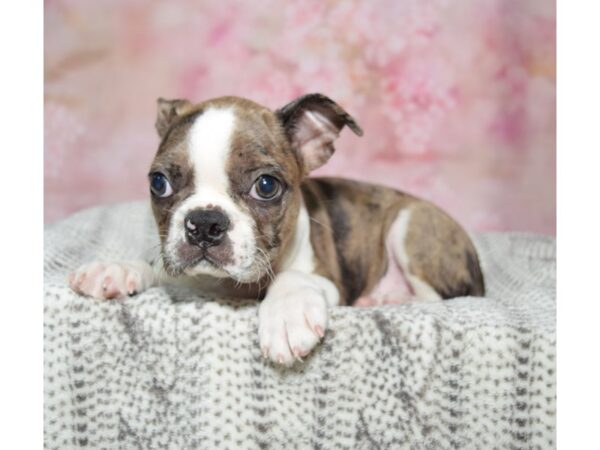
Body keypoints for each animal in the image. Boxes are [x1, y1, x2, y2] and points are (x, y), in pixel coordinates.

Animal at [68, 94, 486, 366]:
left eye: (266, 186)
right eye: (159, 183)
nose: (204, 223)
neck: (231, 287)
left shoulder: (327, 277)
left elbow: (293, 279)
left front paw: (287, 314)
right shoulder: (187, 277)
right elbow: (155, 267)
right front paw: (115, 269)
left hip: (411, 225)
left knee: (438, 297)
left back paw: (384, 299)